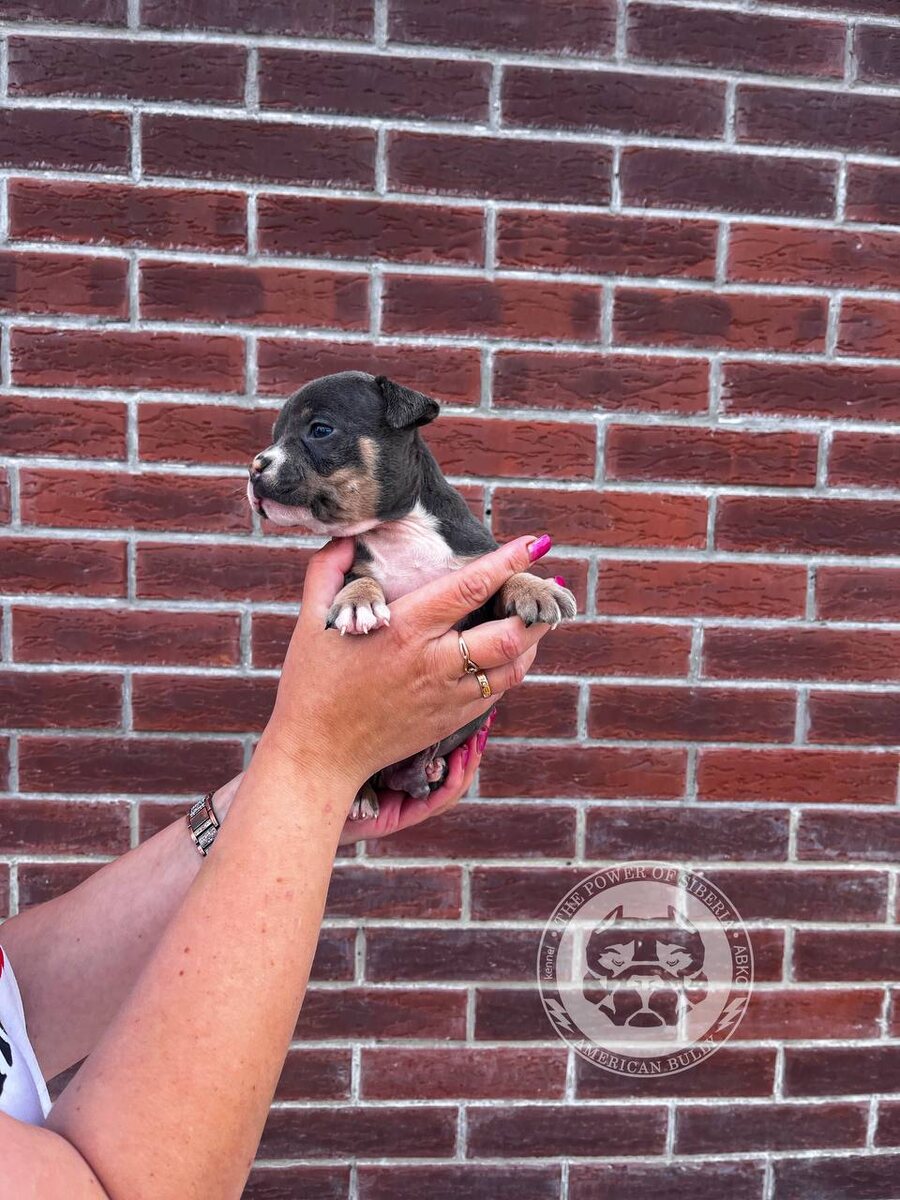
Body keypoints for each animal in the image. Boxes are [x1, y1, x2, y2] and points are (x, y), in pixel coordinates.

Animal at [248, 371, 577, 819]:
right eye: (275, 436)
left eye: (320, 430)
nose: (254, 467)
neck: (398, 529)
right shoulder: (354, 563)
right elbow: (356, 579)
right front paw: (357, 603)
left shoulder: (478, 571)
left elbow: (503, 576)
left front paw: (536, 586)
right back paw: (363, 797)